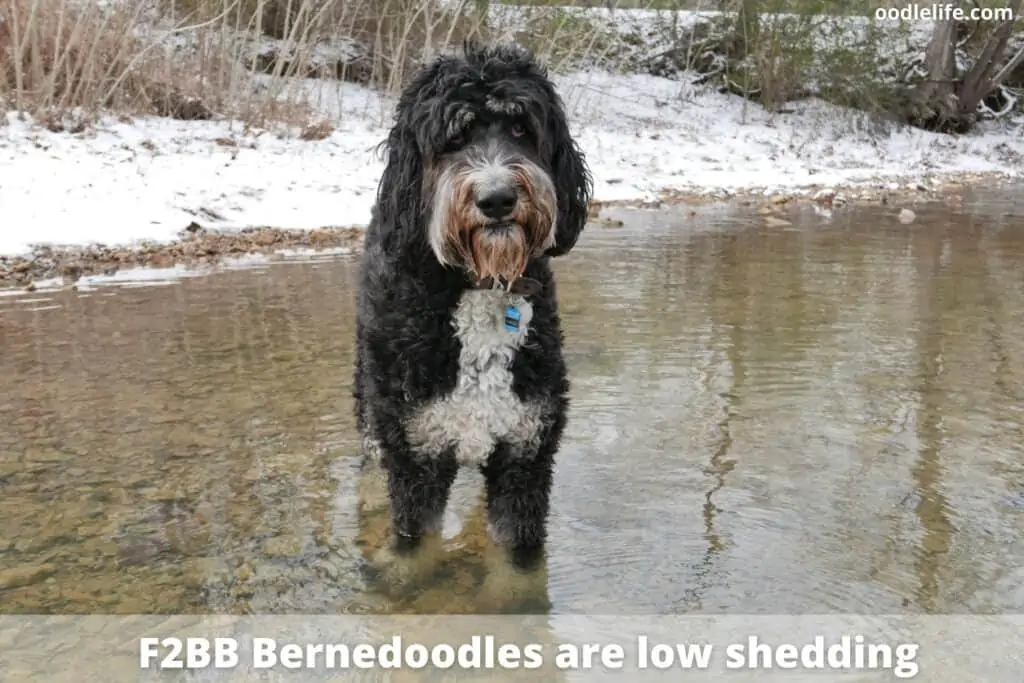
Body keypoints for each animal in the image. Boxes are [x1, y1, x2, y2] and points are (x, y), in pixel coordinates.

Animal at [352, 42, 593, 573]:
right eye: (453, 137)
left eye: (521, 129)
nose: (497, 198)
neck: (478, 286)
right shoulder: (417, 456)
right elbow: (416, 550)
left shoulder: (525, 452)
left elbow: (515, 566)